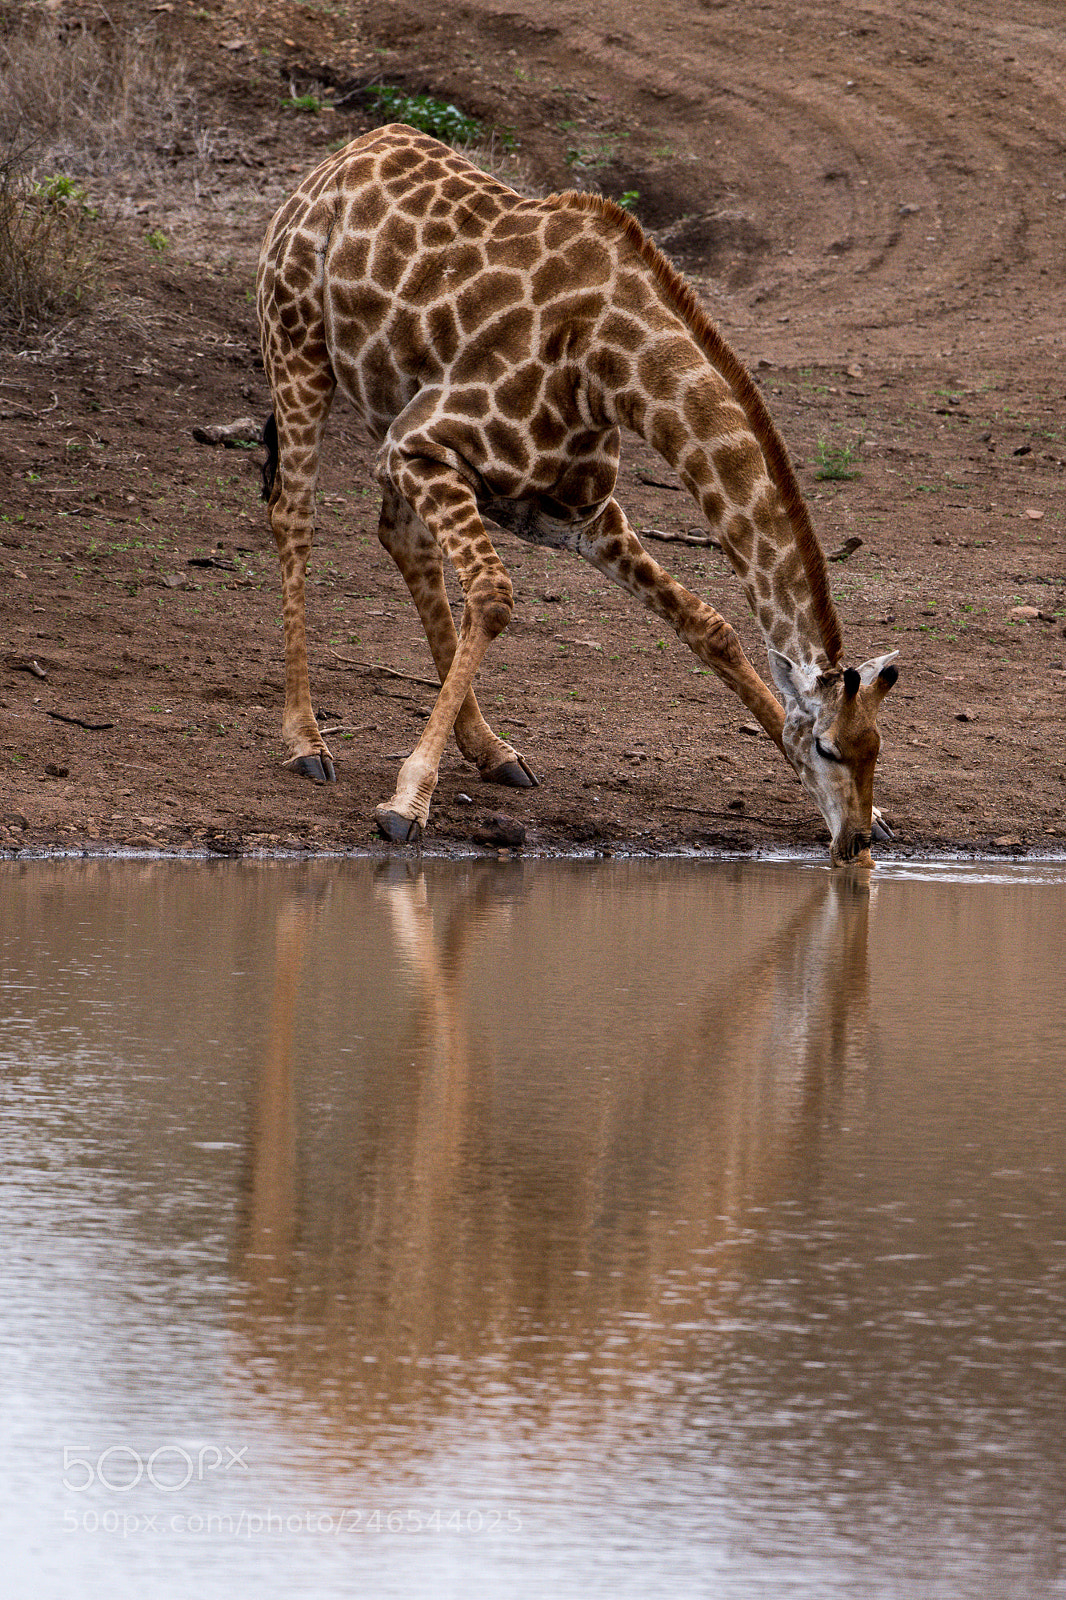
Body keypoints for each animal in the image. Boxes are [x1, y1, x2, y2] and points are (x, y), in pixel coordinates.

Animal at [257, 124, 899, 865]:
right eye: (827, 748)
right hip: (300, 351)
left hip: (387, 406)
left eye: (875, 749)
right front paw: (405, 802)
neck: (611, 370)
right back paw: (306, 742)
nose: (854, 843)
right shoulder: (421, 443)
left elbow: (708, 624)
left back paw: (493, 751)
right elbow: (494, 595)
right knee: (294, 516)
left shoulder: (576, 515)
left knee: (402, 539)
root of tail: (336, 161)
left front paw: (884, 818)